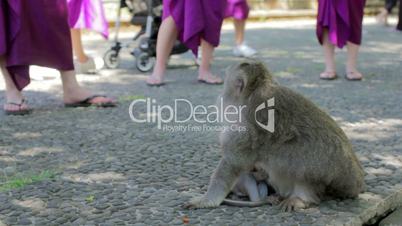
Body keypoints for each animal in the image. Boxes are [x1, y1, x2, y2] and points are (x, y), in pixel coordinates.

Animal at [187, 61, 366, 211]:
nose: (220, 96)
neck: (255, 91)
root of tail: (356, 185)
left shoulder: (243, 130)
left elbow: (232, 165)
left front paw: (207, 200)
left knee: (292, 158)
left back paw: (301, 198)